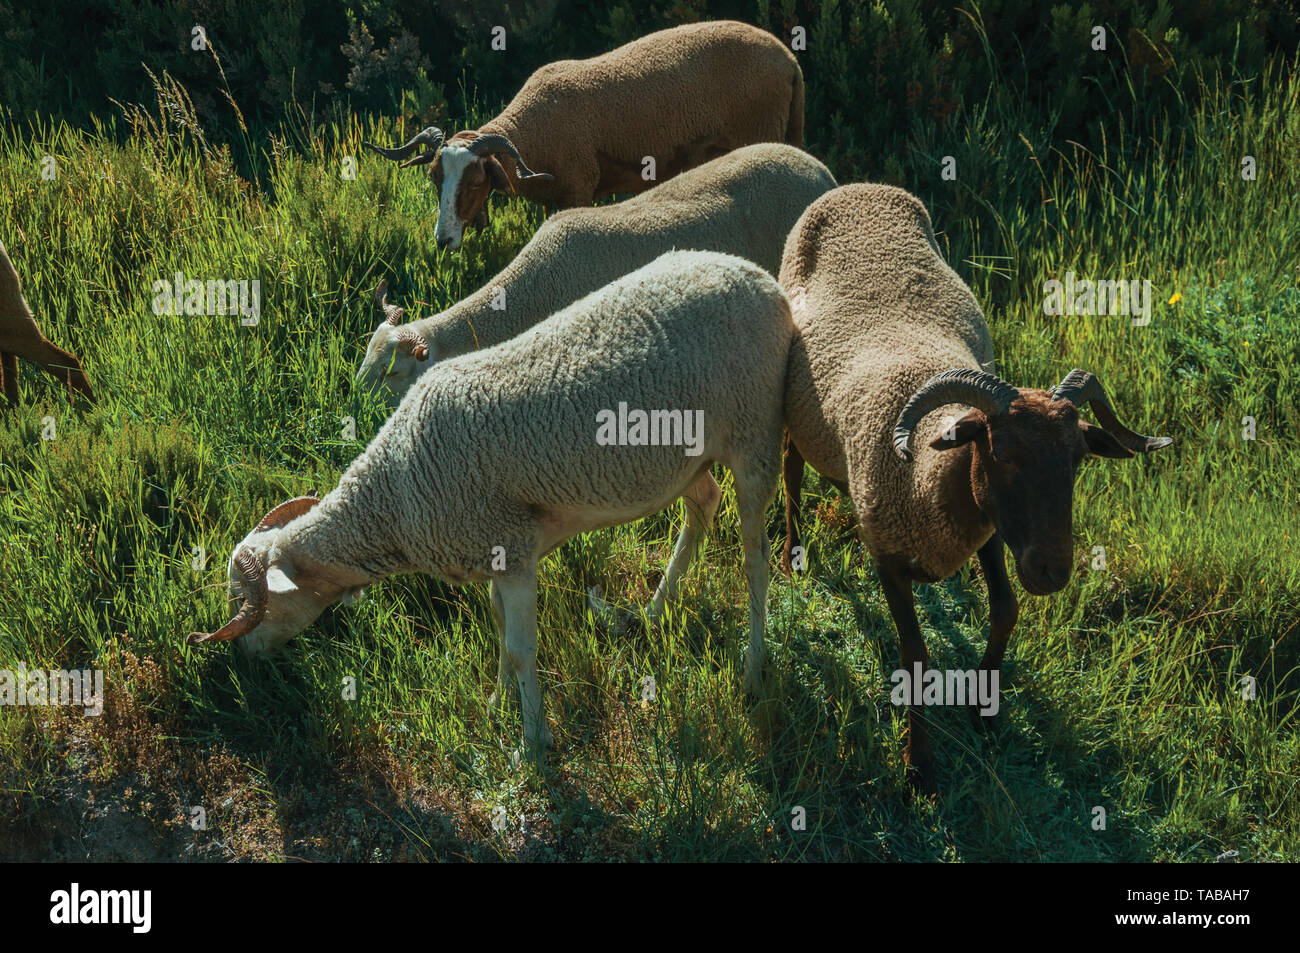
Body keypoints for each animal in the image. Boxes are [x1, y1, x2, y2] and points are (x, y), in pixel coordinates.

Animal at [187, 250, 785, 748]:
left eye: (253, 603)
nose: (242, 657)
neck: (396, 493)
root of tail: (755, 274)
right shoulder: (493, 552)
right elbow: (500, 631)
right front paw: (499, 703)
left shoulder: (512, 551)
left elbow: (522, 648)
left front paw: (535, 744)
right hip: (689, 459)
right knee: (702, 505)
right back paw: (652, 614)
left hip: (755, 431)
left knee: (755, 558)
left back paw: (754, 672)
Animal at [364, 19, 800, 249]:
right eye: (433, 179)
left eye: (473, 182)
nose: (443, 241)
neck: (534, 132)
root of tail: (787, 58)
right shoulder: (551, 199)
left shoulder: (577, 191)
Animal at [774, 184, 1175, 790]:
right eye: (1001, 454)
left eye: (1078, 459)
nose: (1054, 571)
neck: (926, 474)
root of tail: (857, 187)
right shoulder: (889, 556)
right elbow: (914, 655)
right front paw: (919, 765)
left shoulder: (989, 530)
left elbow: (1005, 609)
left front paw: (985, 710)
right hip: (792, 404)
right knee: (792, 471)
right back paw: (793, 554)